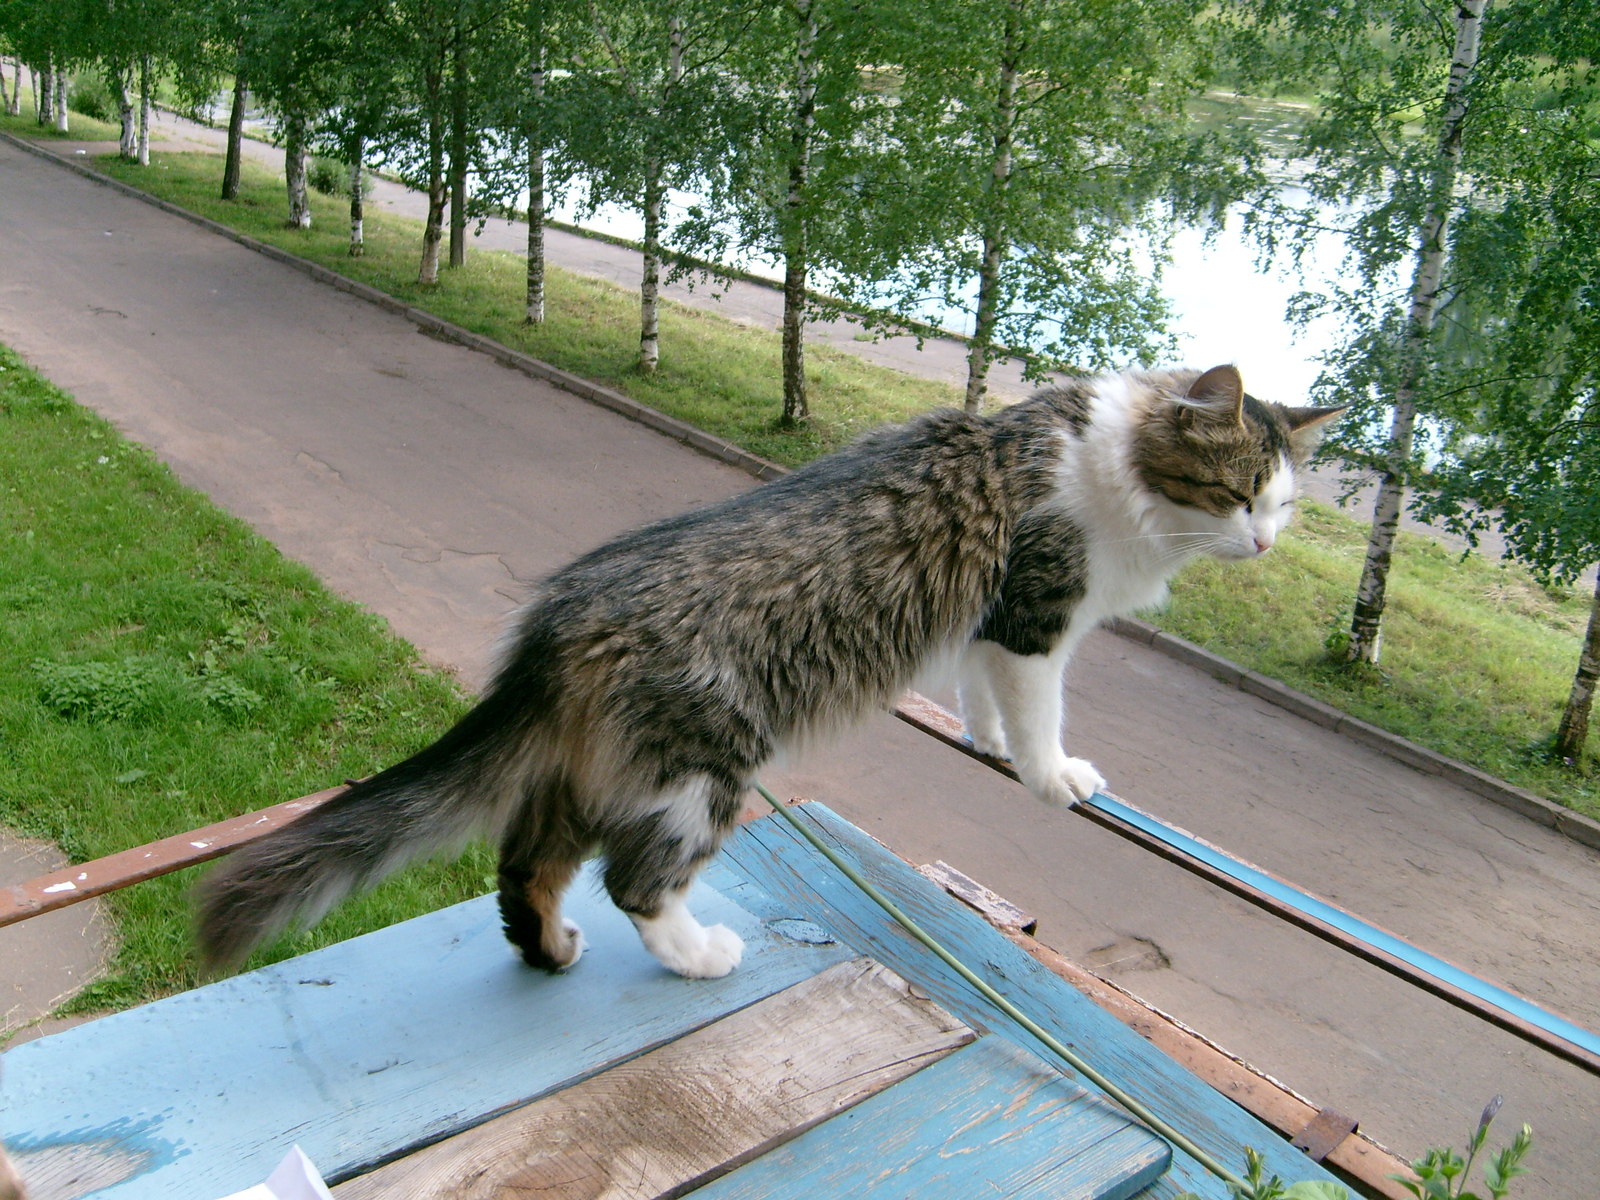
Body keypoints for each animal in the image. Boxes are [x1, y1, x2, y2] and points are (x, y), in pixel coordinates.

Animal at [196, 369, 1337, 985]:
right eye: (1240, 492)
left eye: (1283, 506)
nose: (1267, 545)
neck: (1094, 456)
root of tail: (561, 620)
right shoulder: (1036, 615)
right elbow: (1042, 712)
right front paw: (1052, 777)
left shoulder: (985, 628)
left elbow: (981, 697)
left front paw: (988, 744)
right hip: (707, 765)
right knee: (631, 880)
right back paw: (698, 953)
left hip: (595, 775)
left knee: (525, 864)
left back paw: (553, 951)